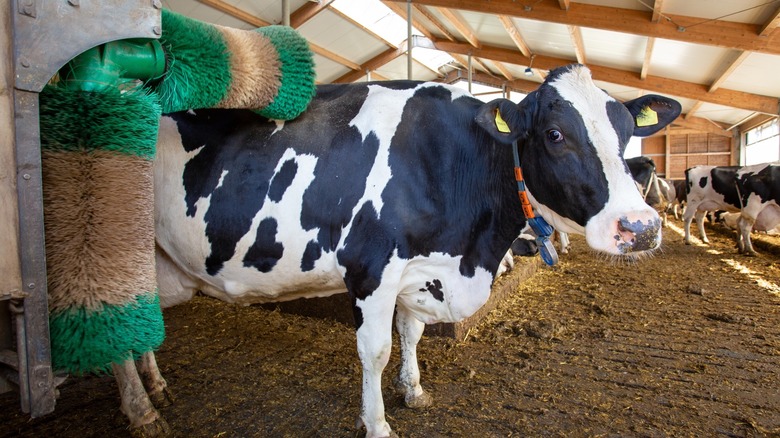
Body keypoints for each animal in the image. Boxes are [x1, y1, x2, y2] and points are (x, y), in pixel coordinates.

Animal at [123, 63, 684, 436]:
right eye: (554, 134)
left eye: (628, 132)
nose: (641, 227)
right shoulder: (371, 268)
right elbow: (376, 350)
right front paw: (377, 424)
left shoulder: (419, 268)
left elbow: (410, 333)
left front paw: (413, 390)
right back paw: (141, 411)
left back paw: (155, 387)